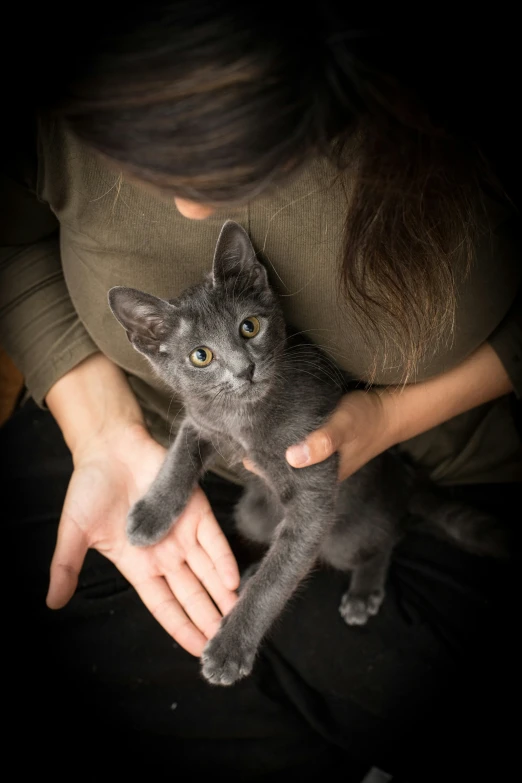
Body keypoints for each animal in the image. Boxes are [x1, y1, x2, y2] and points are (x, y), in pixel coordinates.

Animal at [107, 219, 502, 688]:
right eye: (200, 356)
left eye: (249, 327)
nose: (244, 370)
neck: (243, 420)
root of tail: (405, 481)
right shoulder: (202, 421)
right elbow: (180, 455)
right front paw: (150, 515)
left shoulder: (314, 492)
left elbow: (280, 576)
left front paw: (230, 649)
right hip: (253, 514)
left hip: (346, 533)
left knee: (384, 540)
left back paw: (363, 591)